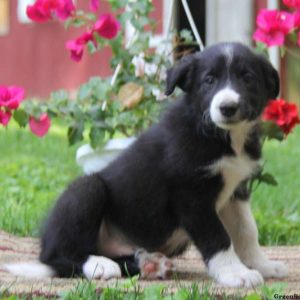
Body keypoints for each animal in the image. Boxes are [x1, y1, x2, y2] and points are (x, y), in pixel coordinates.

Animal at [5, 42, 288, 286]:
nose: (228, 107)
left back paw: (148, 263)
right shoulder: (191, 197)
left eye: (247, 78)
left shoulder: (236, 189)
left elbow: (246, 230)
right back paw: (98, 265)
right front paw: (235, 273)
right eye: (209, 80)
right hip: (85, 190)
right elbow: (218, 237)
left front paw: (262, 265)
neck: (223, 137)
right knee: (57, 257)